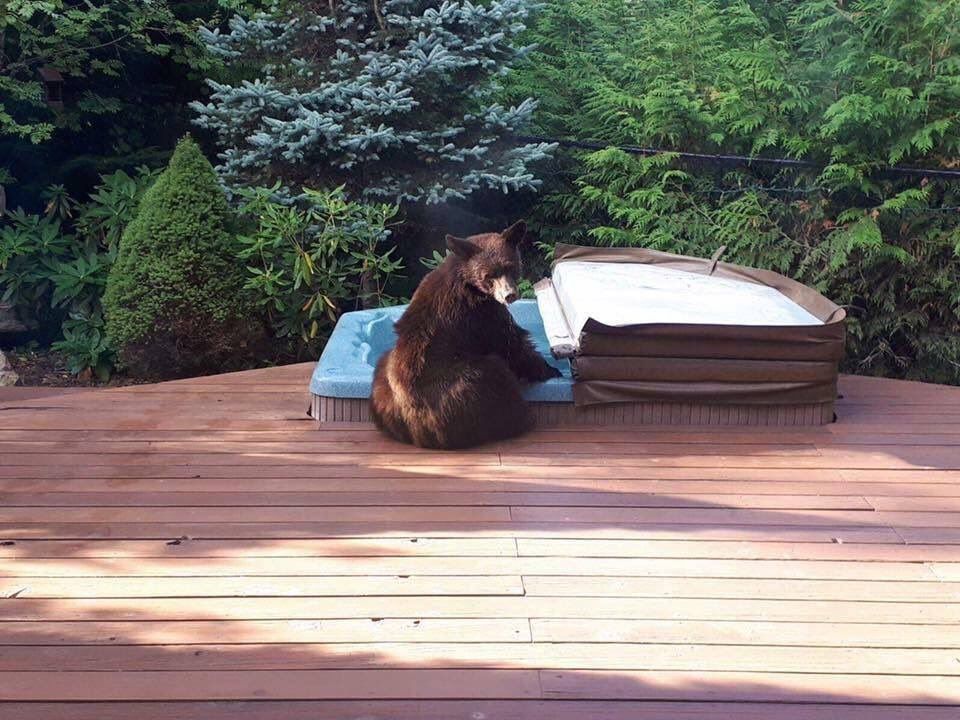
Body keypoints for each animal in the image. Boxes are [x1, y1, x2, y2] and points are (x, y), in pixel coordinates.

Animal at [370, 221, 561, 450]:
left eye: (510, 267)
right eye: (489, 276)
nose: (509, 295)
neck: (468, 281)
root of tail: (418, 429)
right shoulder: (481, 314)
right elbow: (512, 343)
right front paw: (551, 370)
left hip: (383, 379)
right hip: (462, 384)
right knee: (495, 377)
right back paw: (521, 419)